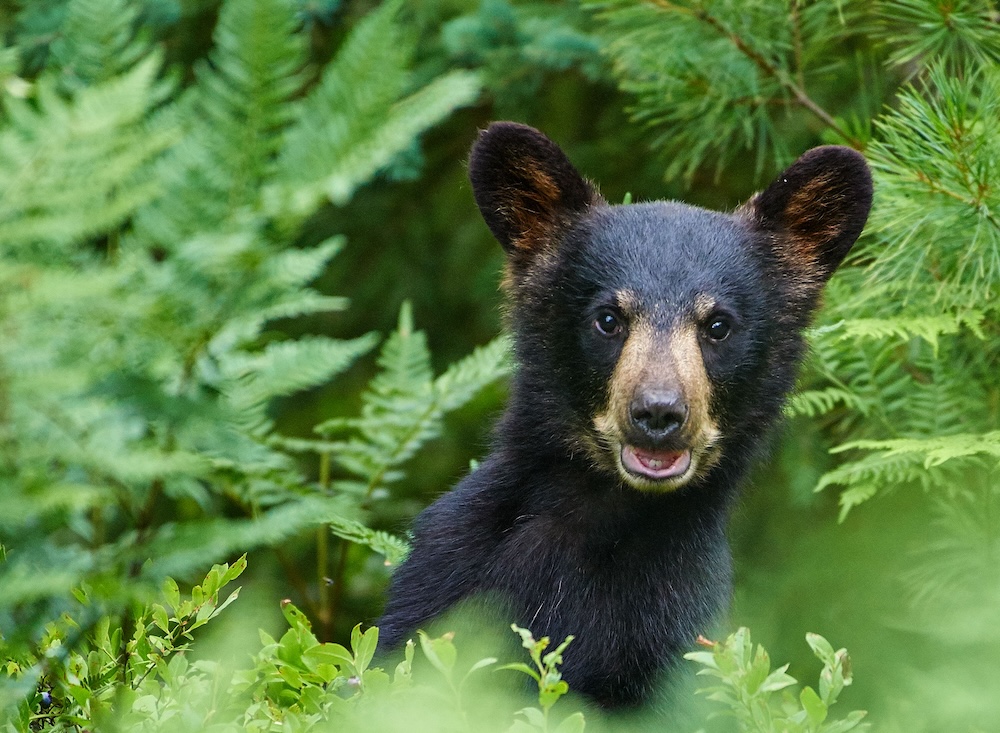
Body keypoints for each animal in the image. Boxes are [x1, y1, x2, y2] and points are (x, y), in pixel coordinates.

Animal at [377, 122, 873, 708]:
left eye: (719, 325)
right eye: (608, 318)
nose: (658, 412)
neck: (599, 512)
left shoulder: (668, 624)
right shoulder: (445, 574)